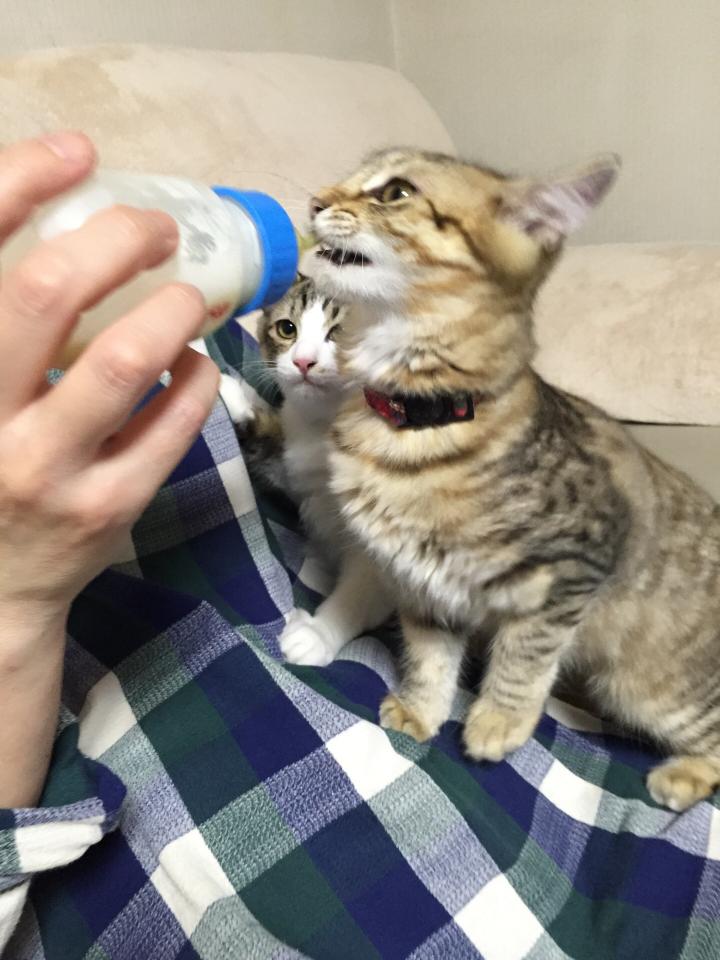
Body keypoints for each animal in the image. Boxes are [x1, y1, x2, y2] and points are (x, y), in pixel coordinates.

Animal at [233, 277, 393, 666]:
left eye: (342, 332)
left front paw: (317, 635)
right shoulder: (300, 468)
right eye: (287, 328)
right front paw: (234, 395)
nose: (303, 361)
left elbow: (364, 589)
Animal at [304, 146, 720, 811]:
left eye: (396, 192)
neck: (410, 419)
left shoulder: (574, 571)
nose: (315, 201)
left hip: (647, 689)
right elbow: (430, 659)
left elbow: (523, 658)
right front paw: (423, 711)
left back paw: (679, 776)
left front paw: (499, 723)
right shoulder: (425, 586)